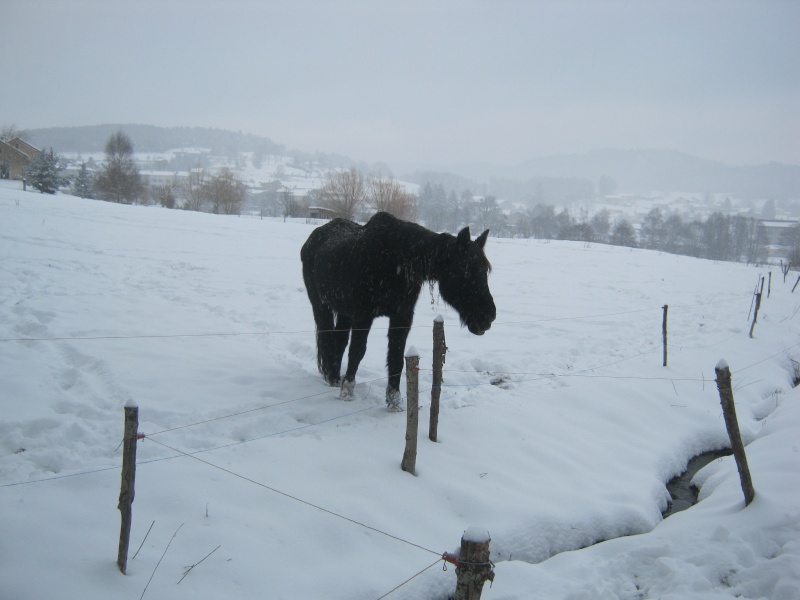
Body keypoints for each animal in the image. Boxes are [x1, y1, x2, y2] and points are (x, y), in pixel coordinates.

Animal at [300, 211, 494, 408]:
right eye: (466, 272)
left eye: (485, 270)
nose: (488, 316)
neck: (395, 261)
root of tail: (314, 237)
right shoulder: (364, 315)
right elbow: (357, 351)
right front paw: (347, 392)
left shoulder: (402, 316)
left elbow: (396, 356)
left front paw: (394, 400)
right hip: (321, 305)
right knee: (328, 338)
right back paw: (333, 378)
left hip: (344, 312)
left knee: (339, 340)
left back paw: (334, 377)